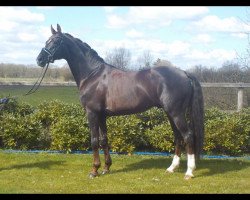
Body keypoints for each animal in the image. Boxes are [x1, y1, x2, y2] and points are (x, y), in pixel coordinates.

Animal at [37, 24, 205, 180]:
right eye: (46, 41)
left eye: (56, 41)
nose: (39, 59)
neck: (93, 75)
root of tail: (184, 73)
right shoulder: (102, 115)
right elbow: (104, 140)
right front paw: (106, 168)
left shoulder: (92, 113)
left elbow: (94, 141)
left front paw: (94, 170)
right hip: (170, 113)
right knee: (178, 137)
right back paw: (172, 168)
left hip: (176, 113)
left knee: (188, 135)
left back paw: (189, 172)